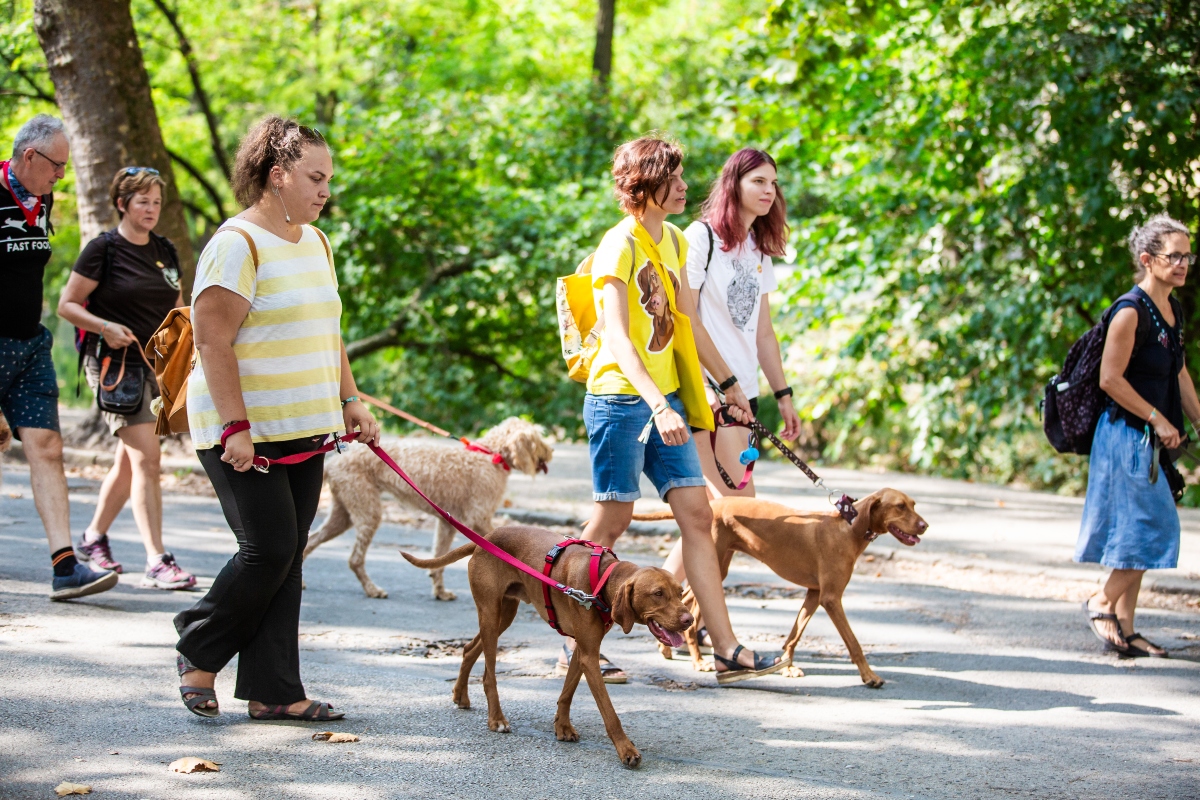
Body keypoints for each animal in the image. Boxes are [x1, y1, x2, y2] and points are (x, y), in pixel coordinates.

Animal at [307, 419, 554, 599]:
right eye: (539, 438)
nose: (551, 450)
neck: (490, 455)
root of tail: (333, 463)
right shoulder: (479, 518)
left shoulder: (447, 522)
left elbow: (439, 559)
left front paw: (440, 592)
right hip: (367, 513)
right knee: (355, 559)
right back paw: (372, 589)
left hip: (344, 514)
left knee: (311, 541)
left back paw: (302, 583)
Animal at [400, 525, 696, 767]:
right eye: (657, 594)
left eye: (680, 593)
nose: (689, 620)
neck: (601, 582)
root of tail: (485, 538)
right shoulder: (589, 656)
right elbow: (610, 713)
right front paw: (626, 750)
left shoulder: (583, 651)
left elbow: (567, 692)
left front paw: (562, 727)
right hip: (490, 614)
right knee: (488, 675)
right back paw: (496, 719)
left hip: (503, 615)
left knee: (469, 649)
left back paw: (460, 695)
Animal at [643, 489, 921, 690]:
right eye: (900, 506)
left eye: (914, 504)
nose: (925, 525)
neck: (848, 527)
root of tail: (713, 504)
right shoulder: (831, 599)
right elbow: (854, 643)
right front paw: (869, 676)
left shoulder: (815, 594)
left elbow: (794, 634)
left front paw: (787, 666)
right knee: (690, 606)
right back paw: (697, 660)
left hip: (717, 567)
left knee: (690, 601)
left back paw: (674, 649)